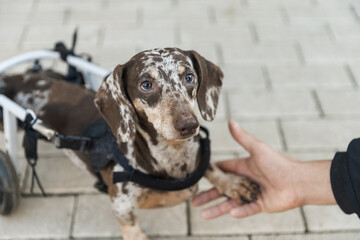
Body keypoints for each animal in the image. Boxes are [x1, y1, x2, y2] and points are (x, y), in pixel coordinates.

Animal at [1, 47, 258, 239]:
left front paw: (234, 184)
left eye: (189, 77)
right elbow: (132, 228)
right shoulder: (120, 204)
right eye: (146, 84)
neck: (173, 158)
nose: (189, 125)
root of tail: (12, 79)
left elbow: (212, 168)